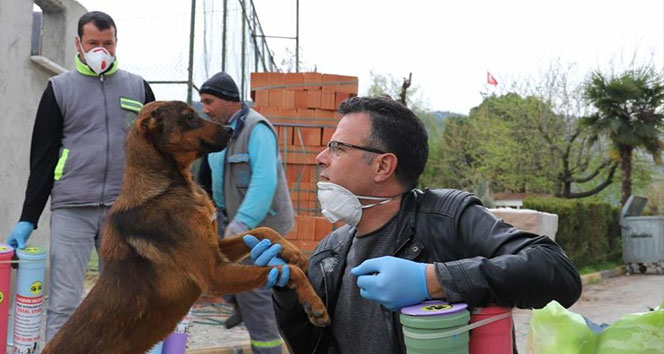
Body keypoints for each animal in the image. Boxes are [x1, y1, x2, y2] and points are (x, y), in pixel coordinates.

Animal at [41, 101, 330, 354]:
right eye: (189, 117)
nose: (230, 130)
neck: (164, 187)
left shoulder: (217, 250)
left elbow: (264, 233)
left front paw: (294, 253)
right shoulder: (215, 274)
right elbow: (285, 271)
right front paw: (314, 304)